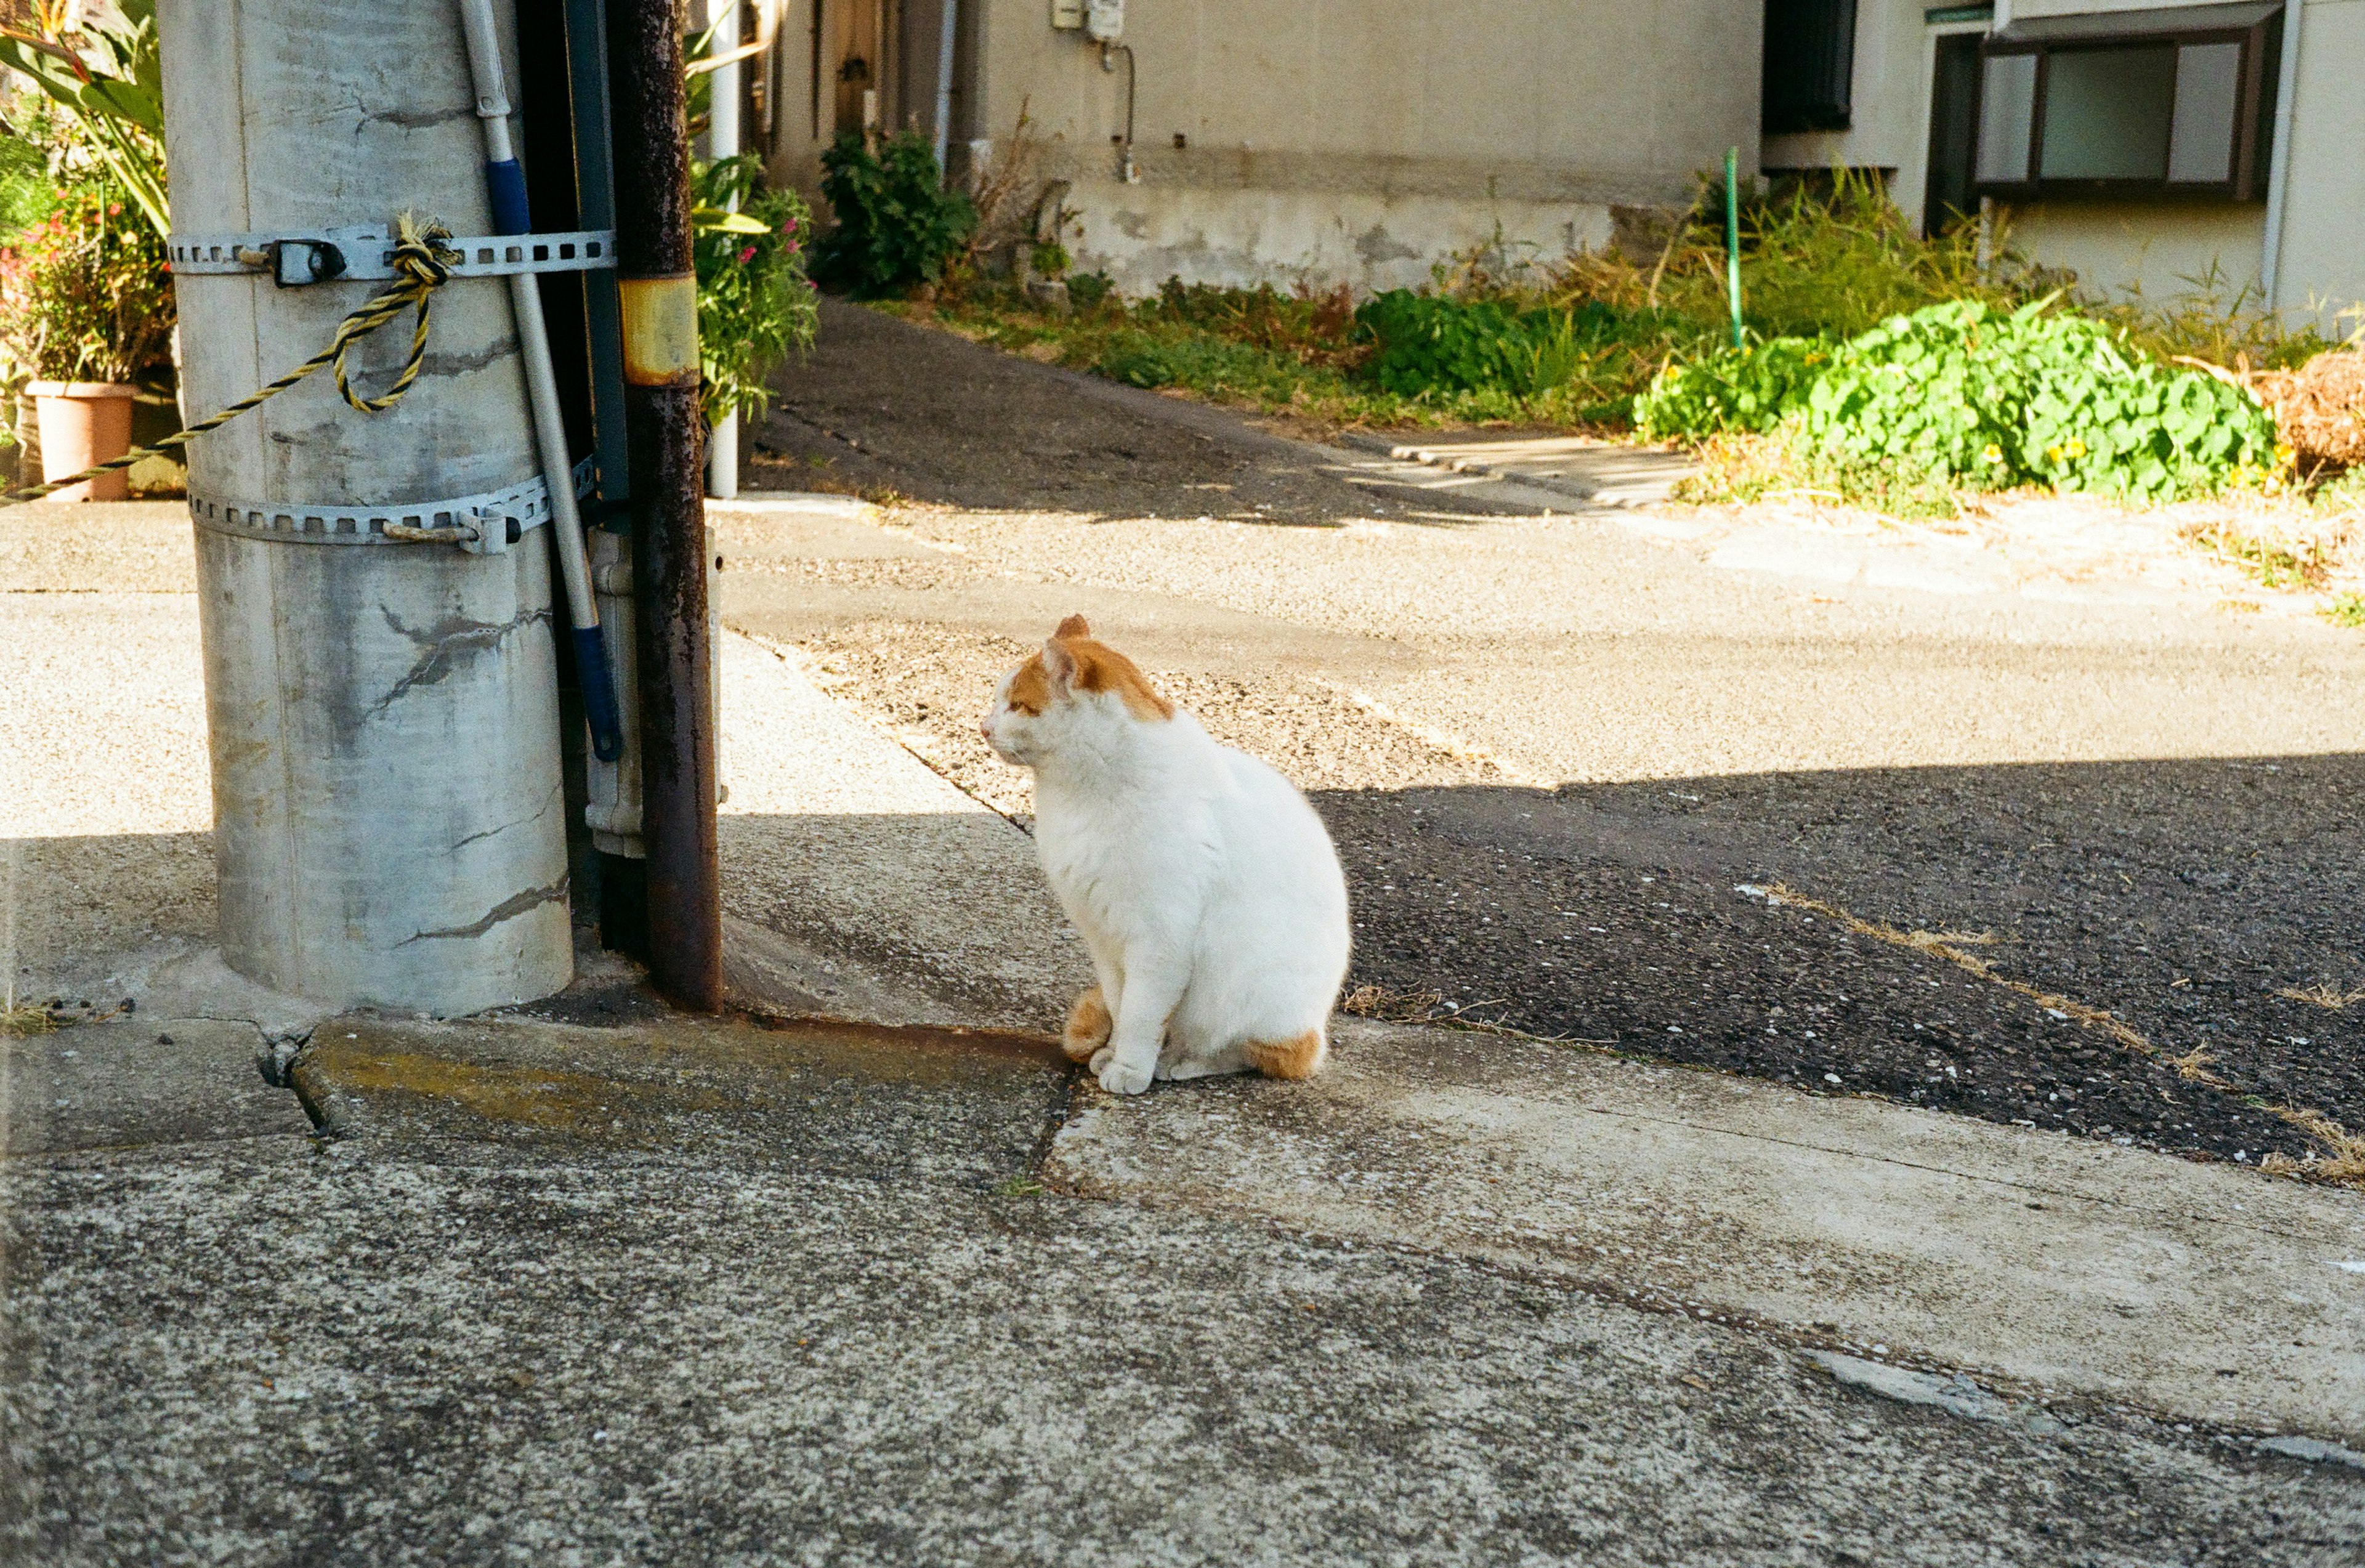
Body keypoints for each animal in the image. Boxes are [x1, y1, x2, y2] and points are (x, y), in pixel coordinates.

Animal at [979, 615, 1352, 1093]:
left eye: (1017, 706)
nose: (984, 727)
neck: (1081, 794)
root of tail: (1316, 1025)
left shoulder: (1159, 942)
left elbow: (1141, 1016)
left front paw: (1131, 1069)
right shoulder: (1105, 940)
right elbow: (1120, 1007)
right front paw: (1115, 1053)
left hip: (1249, 998)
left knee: (1271, 1054)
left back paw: (1183, 1062)